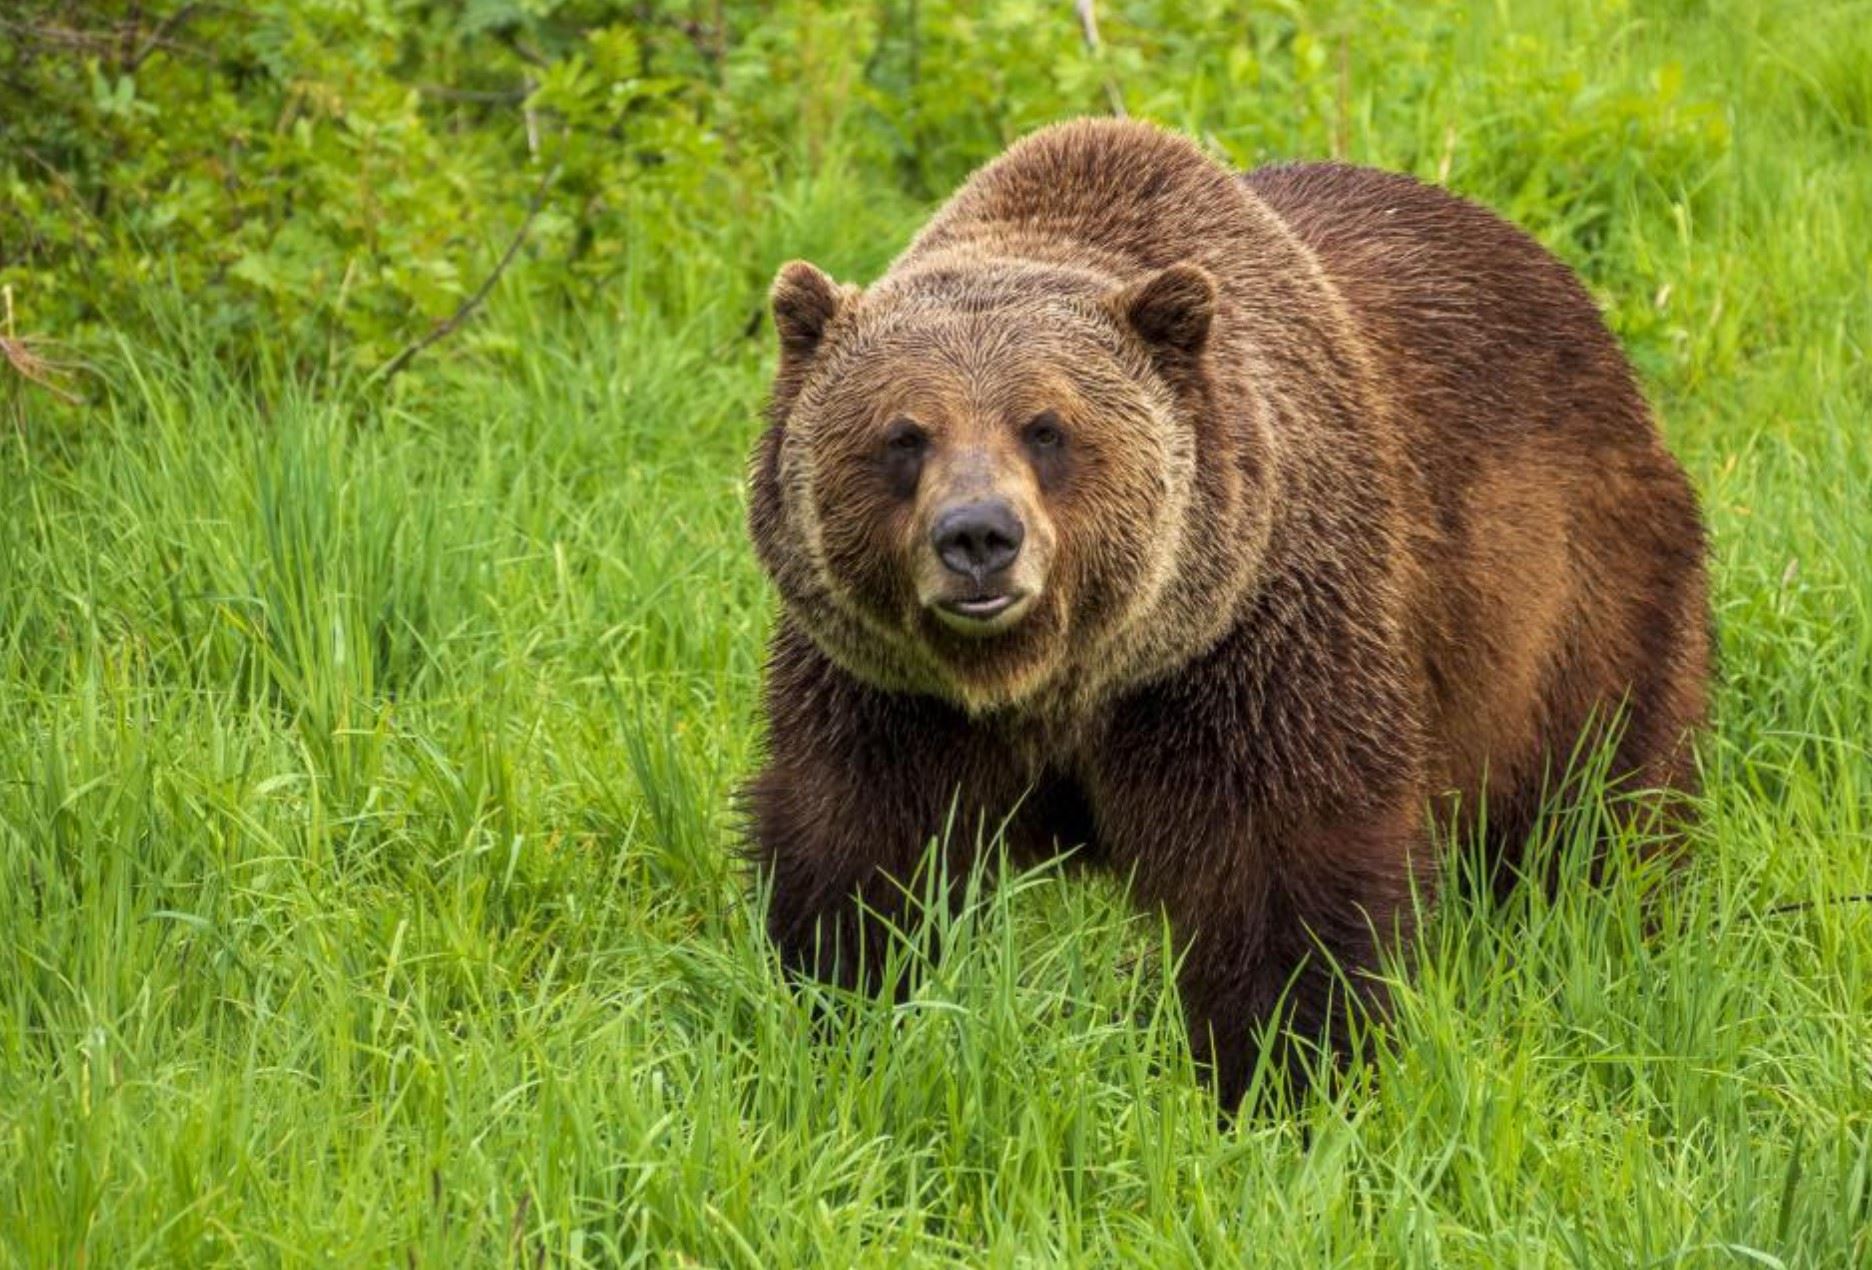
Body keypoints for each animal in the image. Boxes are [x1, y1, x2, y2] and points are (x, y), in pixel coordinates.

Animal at [744, 118, 1709, 1108]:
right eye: (904, 435)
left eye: (1046, 428)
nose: (978, 535)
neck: (1063, 678)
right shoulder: (889, 693)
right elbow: (860, 853)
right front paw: (839, 1014)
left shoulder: (1253, 650)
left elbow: (1283, 875)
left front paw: (1288, 1073)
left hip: (1573, 592)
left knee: (1597, 794)